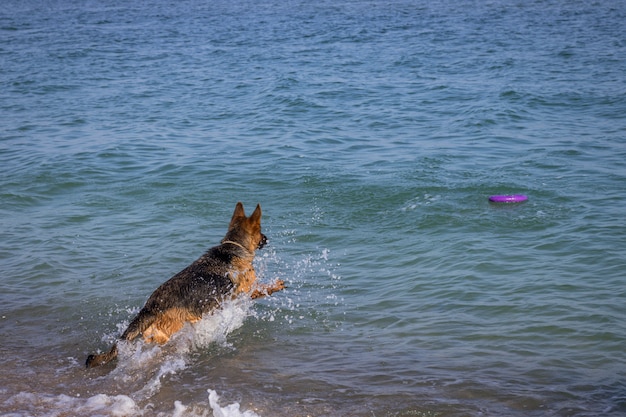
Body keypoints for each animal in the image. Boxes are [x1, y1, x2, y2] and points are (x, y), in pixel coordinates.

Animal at [84, 202, 282, 368]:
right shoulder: (246, 291)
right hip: (171, 330)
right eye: (260, 231)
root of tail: (150, 307)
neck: (234, 248)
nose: (266, 238)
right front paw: (276, 285)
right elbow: (263, 289)